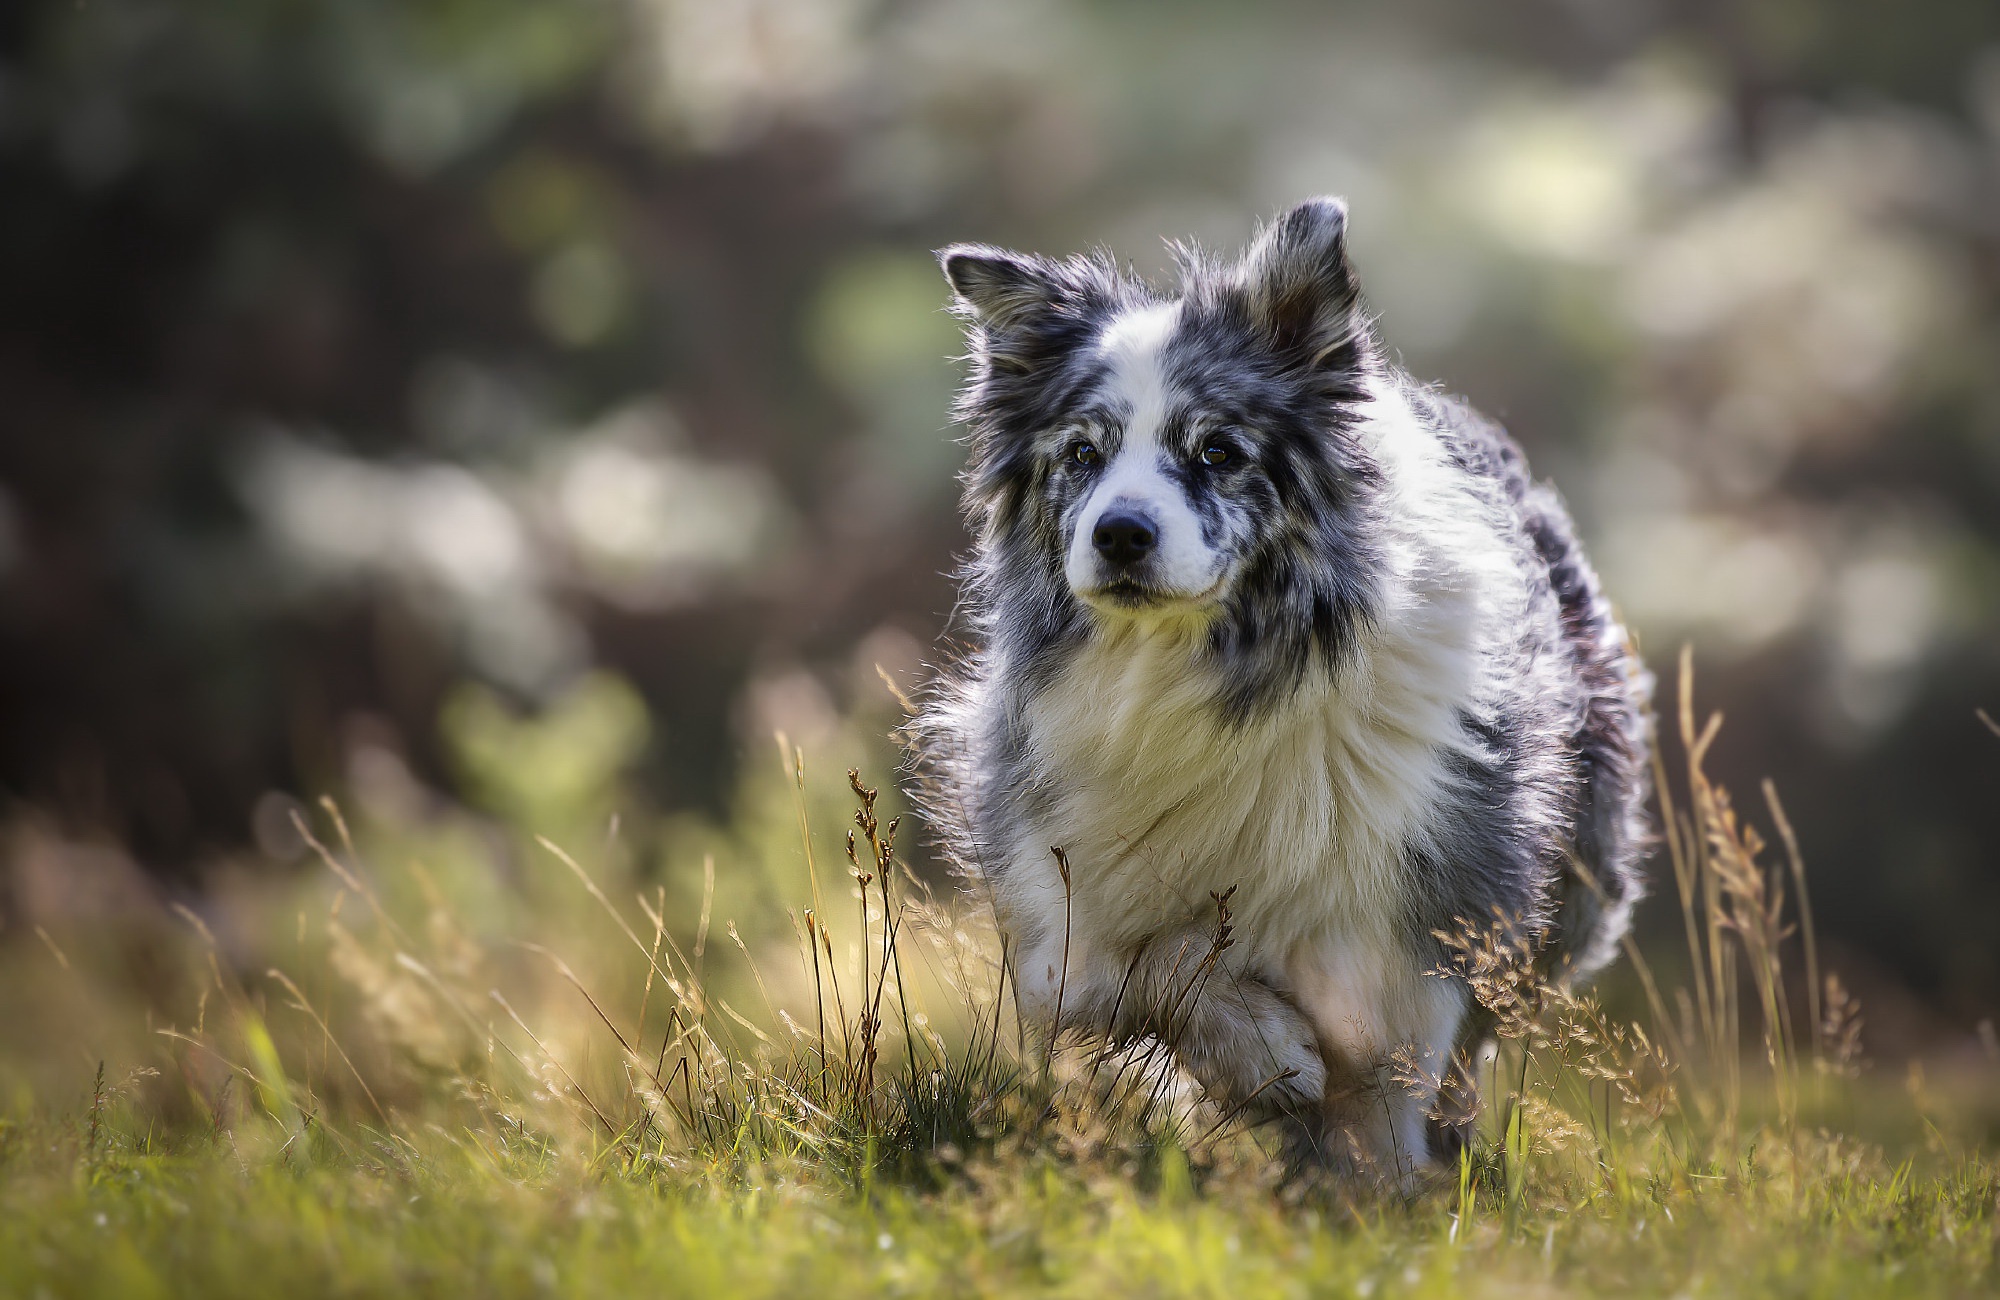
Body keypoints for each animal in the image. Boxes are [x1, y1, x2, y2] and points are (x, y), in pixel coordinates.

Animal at [916, 197, 1648, 1176]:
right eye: (1081, 453)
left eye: (1219, 450)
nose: (1120, 534)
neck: (1214, 675)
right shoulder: (1058, 904)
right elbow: (1146, 962)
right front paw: (1264, 1051)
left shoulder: (1410, 906)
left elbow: (1386, 1077)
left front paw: (1375, 1181)